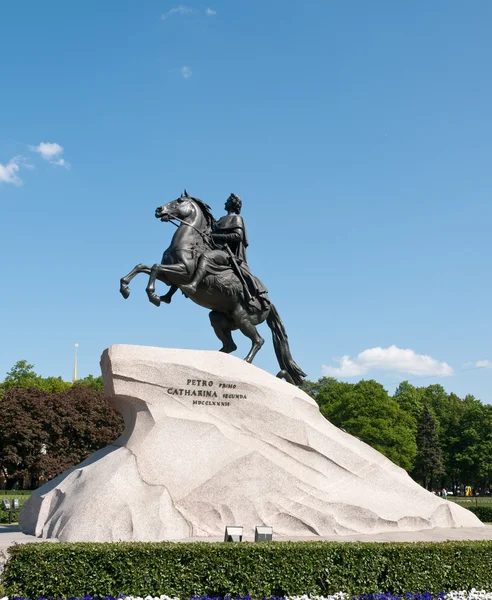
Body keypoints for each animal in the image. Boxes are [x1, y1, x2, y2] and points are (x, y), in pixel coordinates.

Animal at [119, 195, 306, 386]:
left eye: (179, 201)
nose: (159, 210)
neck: (189, 242)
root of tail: (269, 303)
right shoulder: (169, 276)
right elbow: (143, 267)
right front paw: (126, 288)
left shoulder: (183, 272)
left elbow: (155, 268)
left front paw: (153, 295)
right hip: (220, 317)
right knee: (230, 345)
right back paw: (215, 358)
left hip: (242, 317)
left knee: (258, 340)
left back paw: (245, 361)